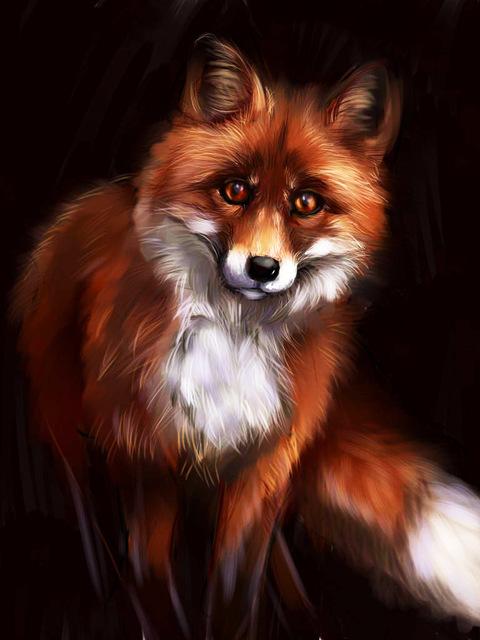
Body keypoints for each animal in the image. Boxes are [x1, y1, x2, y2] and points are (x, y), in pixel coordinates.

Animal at [11, 34, 480, 638]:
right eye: (234, 191)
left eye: (306, 203)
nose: (262, 268)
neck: (231, 341)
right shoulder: (144, 460)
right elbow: (151, 580)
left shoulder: (261, 464)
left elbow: (235, 589)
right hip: (67, 429)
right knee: (88, 514)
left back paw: (306, 616)